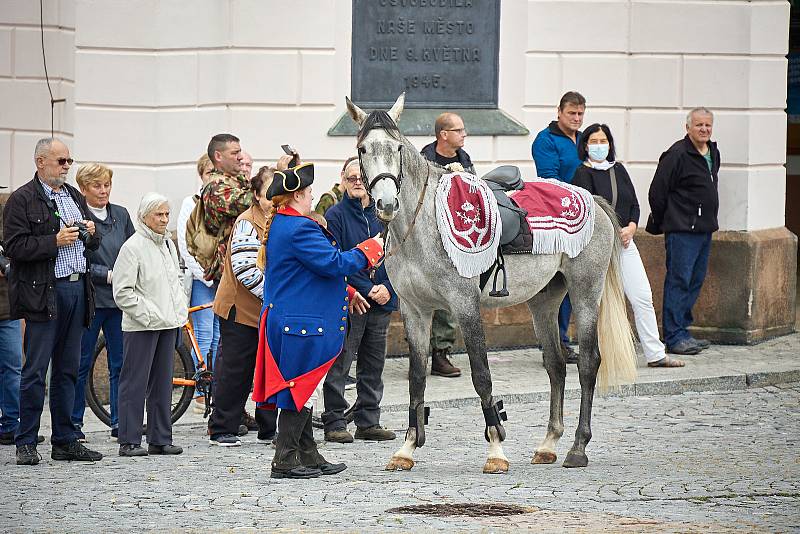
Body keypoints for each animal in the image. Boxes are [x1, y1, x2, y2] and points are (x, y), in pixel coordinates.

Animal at [346, 94, 636, 476]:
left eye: (397, 147)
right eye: (363, 149)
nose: (387, 203)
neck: (422, 225)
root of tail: (594, 200)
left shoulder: (464, 306)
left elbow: (481, 375)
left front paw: (496, 449)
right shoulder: (415, 311)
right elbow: (417, 377)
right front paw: (407, 448)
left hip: (585, 293)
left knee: (588, 364)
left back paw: (577, 447)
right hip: (544, 301)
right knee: (556, 365)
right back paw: (549, 443)